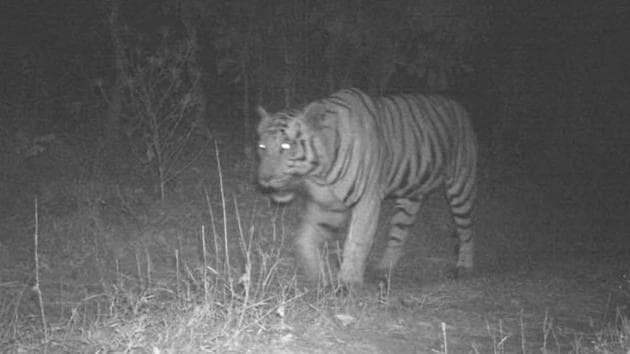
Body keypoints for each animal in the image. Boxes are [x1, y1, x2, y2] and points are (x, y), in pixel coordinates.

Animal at [256, 87, 478, 286]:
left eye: (285, 146)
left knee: (467, 231)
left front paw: (347, 283)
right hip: (410, 197)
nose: (263, 179)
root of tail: (458, 106)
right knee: (399, 234)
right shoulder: (329, 205)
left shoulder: (367, 201)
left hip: (460, 188)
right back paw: (384, 269)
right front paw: (318, 273)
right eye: (262, 147)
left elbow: (356, 241)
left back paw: (464, 267)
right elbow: (306, 238)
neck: (319, 175)